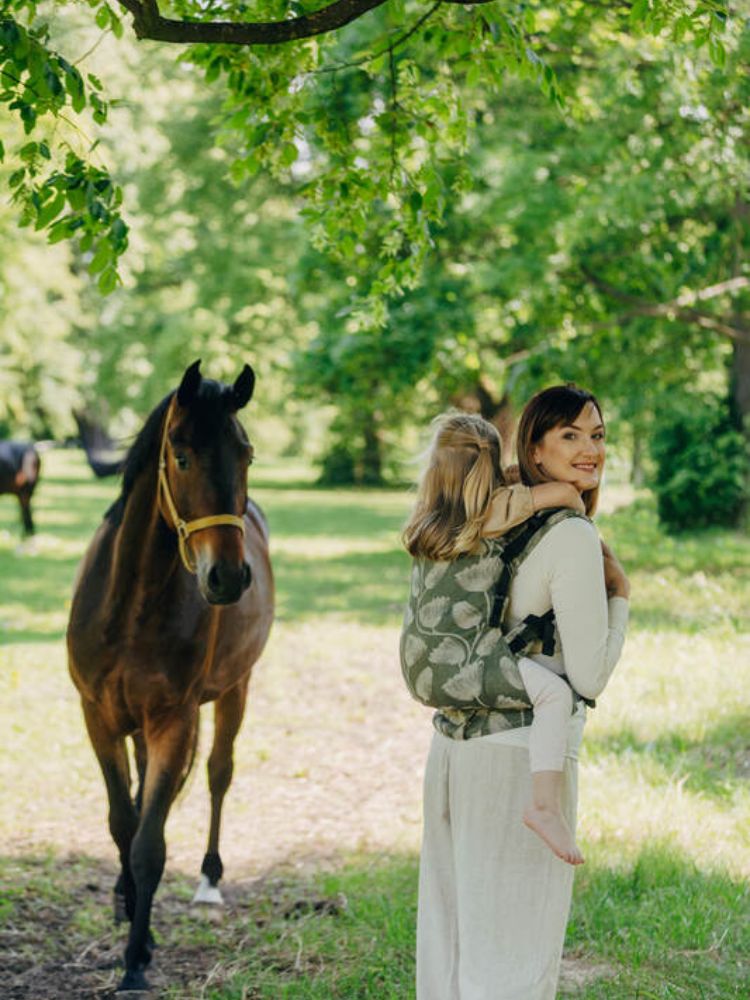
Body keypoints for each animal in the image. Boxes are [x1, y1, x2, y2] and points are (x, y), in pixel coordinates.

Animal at [68, 362, 276, 992]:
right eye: (181, 456)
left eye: (246, 454)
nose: (228, 577)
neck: (130, 605)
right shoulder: (98, 717)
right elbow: (123, 822)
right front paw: (129, 911)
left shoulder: (174, 721)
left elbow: (149, 844)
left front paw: (136, 961)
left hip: (234, 691)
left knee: (217, 774)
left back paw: (208, 879)